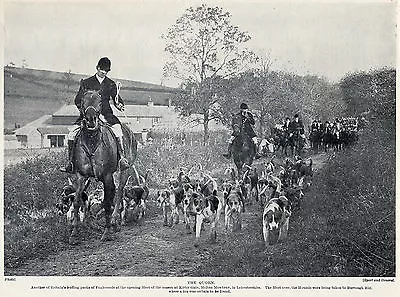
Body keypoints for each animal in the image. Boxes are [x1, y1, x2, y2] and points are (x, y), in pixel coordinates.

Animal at [68, 89, 137, 243]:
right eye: (83, 101)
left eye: (100, 101)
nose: (91, 120)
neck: (92, 140)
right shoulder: (81, 176)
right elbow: (77, 201)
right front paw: (74, 232)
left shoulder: (106, 176)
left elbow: (106, 202)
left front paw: (106, 232)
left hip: (124, 171)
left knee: (119, 193)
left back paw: (114, 221)